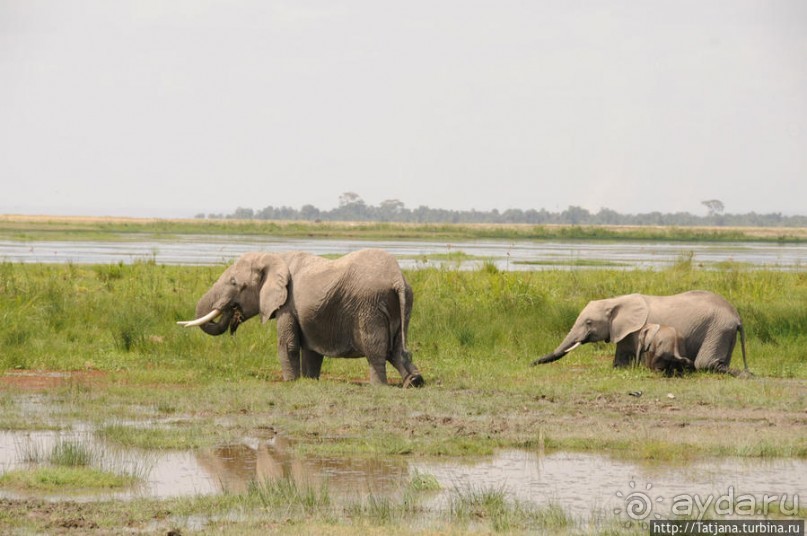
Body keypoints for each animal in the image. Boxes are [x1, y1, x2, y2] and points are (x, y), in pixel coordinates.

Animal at [178, 249, 426, 388]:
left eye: (234, 283)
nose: (233, 316)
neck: (273, 257)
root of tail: (397, 277)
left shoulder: (288, 304)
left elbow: (287, 344)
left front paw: (290, 382)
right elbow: (312, 350)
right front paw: (309, 381)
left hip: (369, 306)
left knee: (376, 349)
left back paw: (379, 386)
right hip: (402, 304)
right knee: (398, 348)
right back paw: (414, 382)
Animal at [532, 292, 752, 374]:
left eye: (588, 322)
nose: (531, 363)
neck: (615, 301)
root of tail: (737, 317)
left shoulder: (638, 329)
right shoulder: (623, 331)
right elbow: (621, 358)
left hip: (717, 328)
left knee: (705, 363)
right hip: (724, 331)